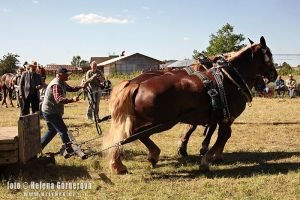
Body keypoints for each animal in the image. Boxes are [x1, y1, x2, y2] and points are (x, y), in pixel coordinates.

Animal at [104, 36, 278, 174]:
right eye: (269, 54)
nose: (274, 75)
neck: (229, 78)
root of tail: (136, 84)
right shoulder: (227, 117)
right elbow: (223, 135)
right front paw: (207, 159)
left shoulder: (216, 116)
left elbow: (214, 133)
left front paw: (208, 154)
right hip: (162, 122)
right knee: (131, 135)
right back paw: (136, 159)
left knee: (132, 135)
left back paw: (139, 158)